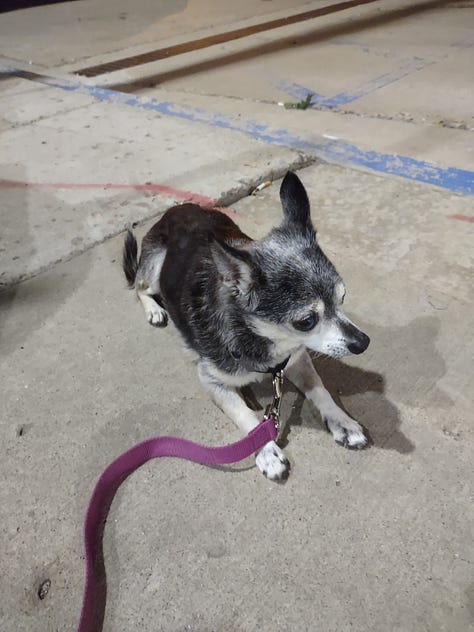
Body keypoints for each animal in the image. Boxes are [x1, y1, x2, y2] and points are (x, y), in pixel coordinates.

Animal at [122, 172, 370, 478]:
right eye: (306, 321)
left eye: (343, 298)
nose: (363, 342)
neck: (266, 342)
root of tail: (176, 209)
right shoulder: (211, 380)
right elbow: (247, 416)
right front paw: (266, 451)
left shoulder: (296, 359)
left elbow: (319, 388)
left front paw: (341, 420)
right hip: (156, 266)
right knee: (139, 287)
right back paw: (155, 309)